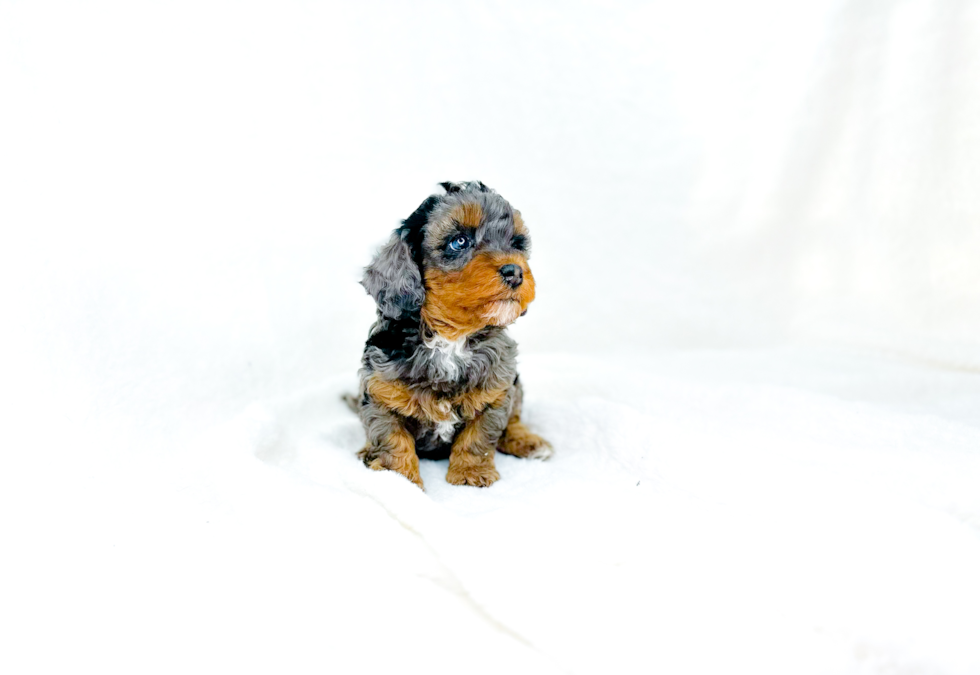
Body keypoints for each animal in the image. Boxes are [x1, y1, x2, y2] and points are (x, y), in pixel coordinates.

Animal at [350, 182, 552, 488]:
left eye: (516, 243)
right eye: (459, 241)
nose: (516, 271)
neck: (451, 338)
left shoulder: (497, 390)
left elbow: (479, 437)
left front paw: (471, 472)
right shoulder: (380, 394)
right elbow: (393, 440)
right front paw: (398, 480)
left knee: (515, 419)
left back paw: (528, 441)